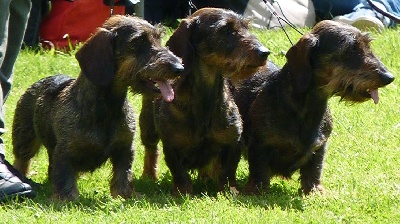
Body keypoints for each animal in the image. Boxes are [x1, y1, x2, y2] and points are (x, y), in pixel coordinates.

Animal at [10, 15, 183, 201]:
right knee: (21, 161)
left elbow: (123, 175)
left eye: (159, 38)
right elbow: (64, 176)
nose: (179, 68)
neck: (108, 109)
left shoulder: (124, 148)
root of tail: (38, 83)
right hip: (24, 138)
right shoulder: (65, 153)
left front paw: (125, 195)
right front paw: (67, 199)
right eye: (138, 41)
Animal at [140, 7, 268, 194]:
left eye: (246, 26)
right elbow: (179, 173)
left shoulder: (233, 142)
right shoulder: (171, 145)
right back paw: (149, 176)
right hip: (147, 126)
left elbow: (228, 171)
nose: (264, 52)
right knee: (150, 150)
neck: (204, 102)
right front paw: (183, 192)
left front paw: (229, 191)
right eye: (225, 29)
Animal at [231, 20, 394, 194]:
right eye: (351, 48)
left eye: (367, 45)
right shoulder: (260, 144)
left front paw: (314, 192)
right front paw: (256, 190)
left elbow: (314, 169)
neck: (307, 108)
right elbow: (259, 168)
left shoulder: (320, 147)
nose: (389, 77)